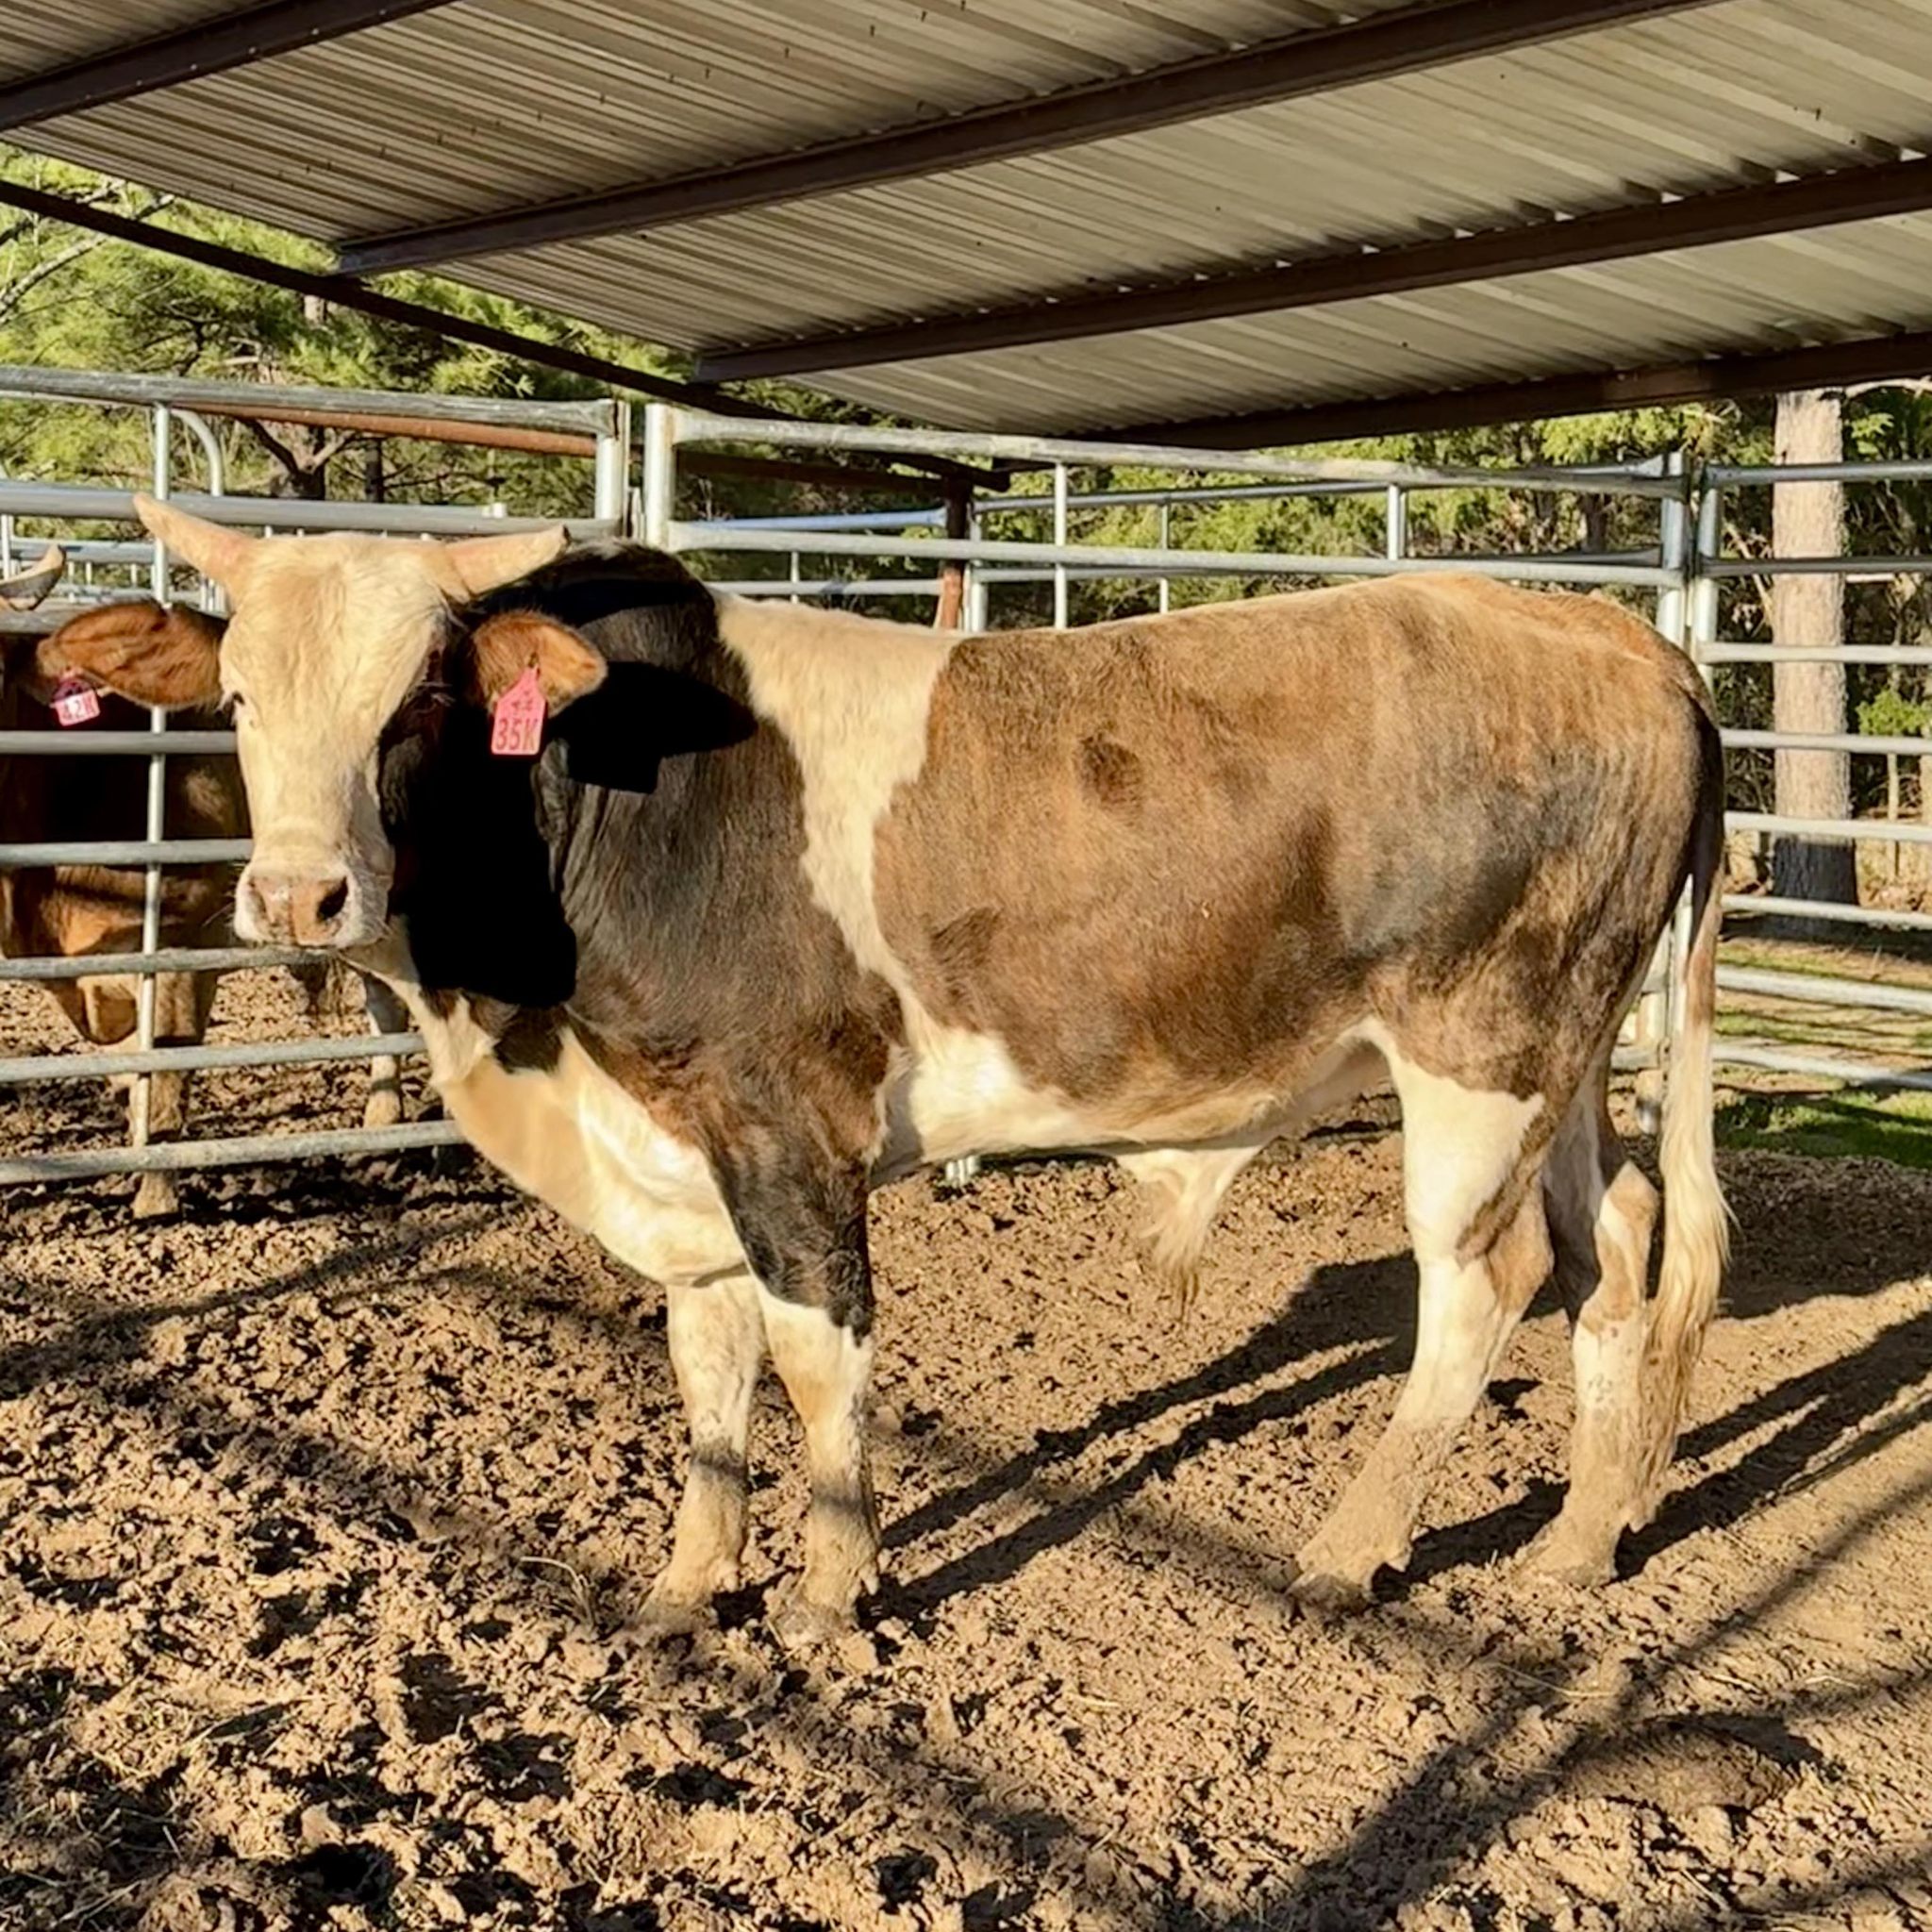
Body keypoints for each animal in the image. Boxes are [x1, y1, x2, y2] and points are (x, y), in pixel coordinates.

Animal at [43, 496, 1727, 1637]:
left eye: (425, 700)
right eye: (239, 697)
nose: (301, 898)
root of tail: (1623, 639)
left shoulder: (788, 1127)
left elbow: (815, 1359)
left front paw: (830, 1591)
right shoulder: (681, 1142)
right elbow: (709, 1366)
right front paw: (689, 1582)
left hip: (1478, 1051)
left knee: (1486, 1282)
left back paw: (1345, 1549)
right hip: (1571, 1056)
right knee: (1618, 1244)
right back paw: (1579, 1540)